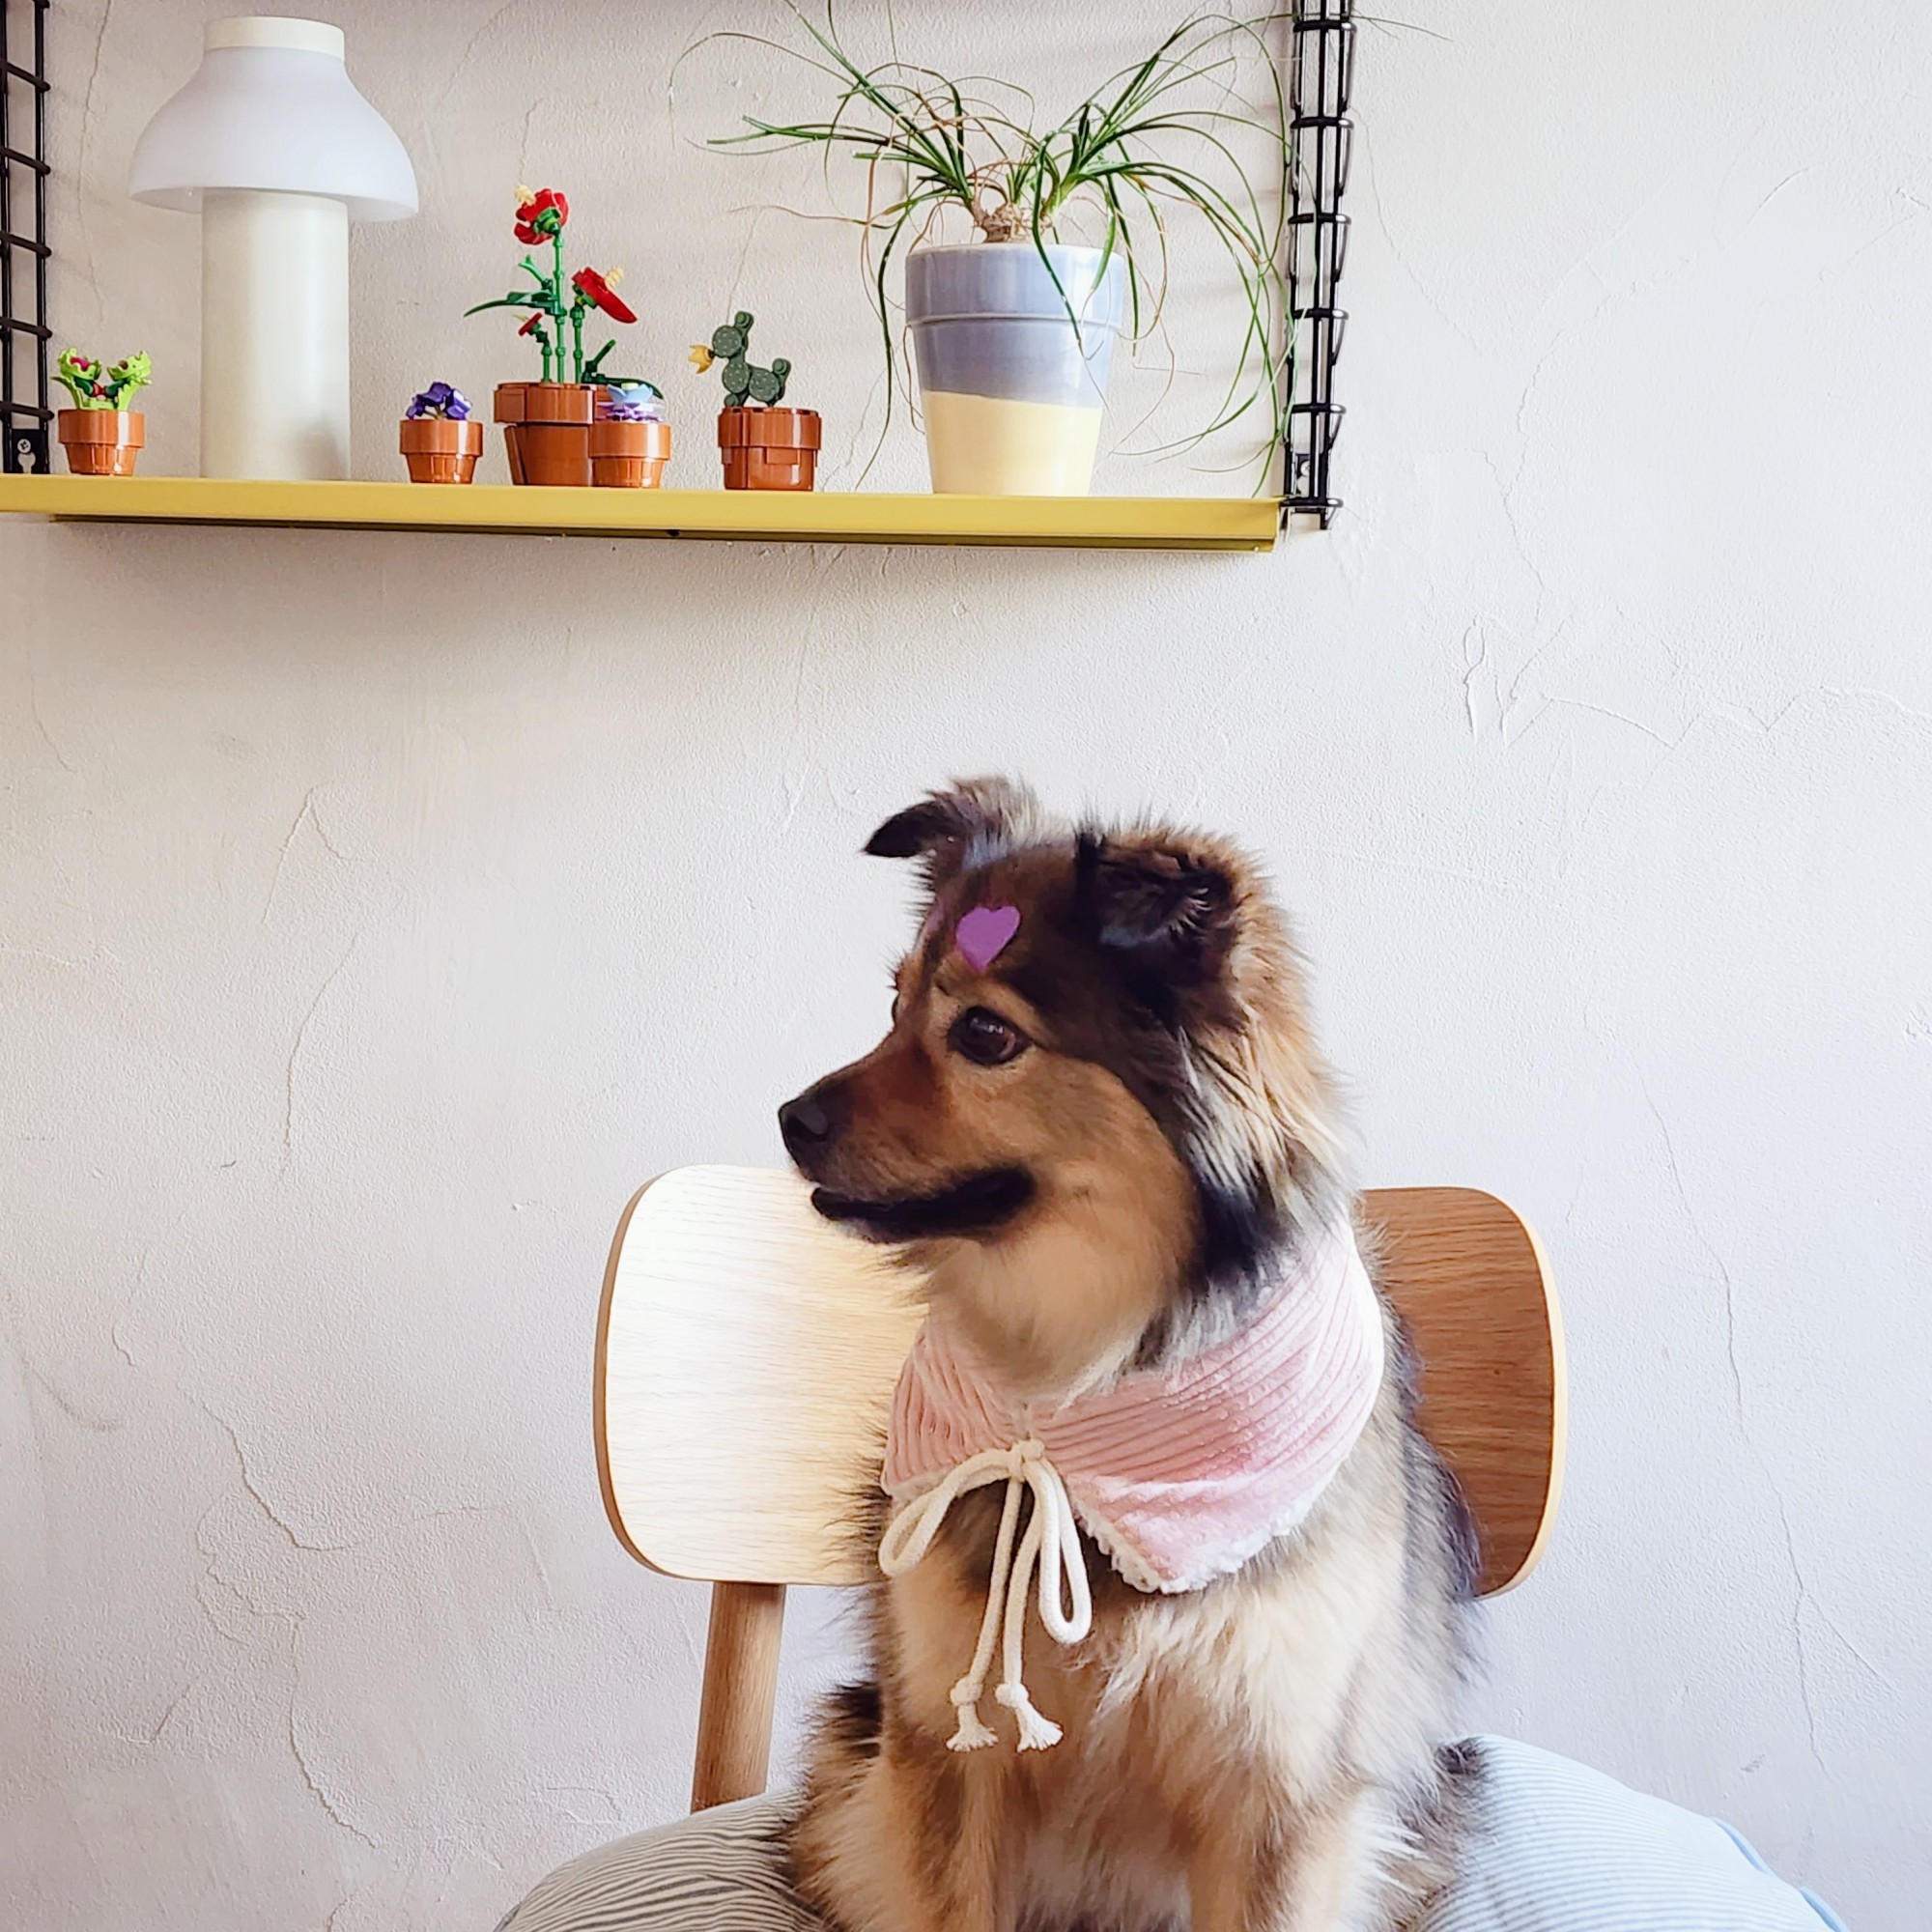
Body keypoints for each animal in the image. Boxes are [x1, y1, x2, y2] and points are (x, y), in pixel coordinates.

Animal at [777, 779, 1477, 1932]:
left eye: (983, 1033)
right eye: (892, 1005)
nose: (789, 1118)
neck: (1079, 1395)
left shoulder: (1276, 1791)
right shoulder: (945, 1756)